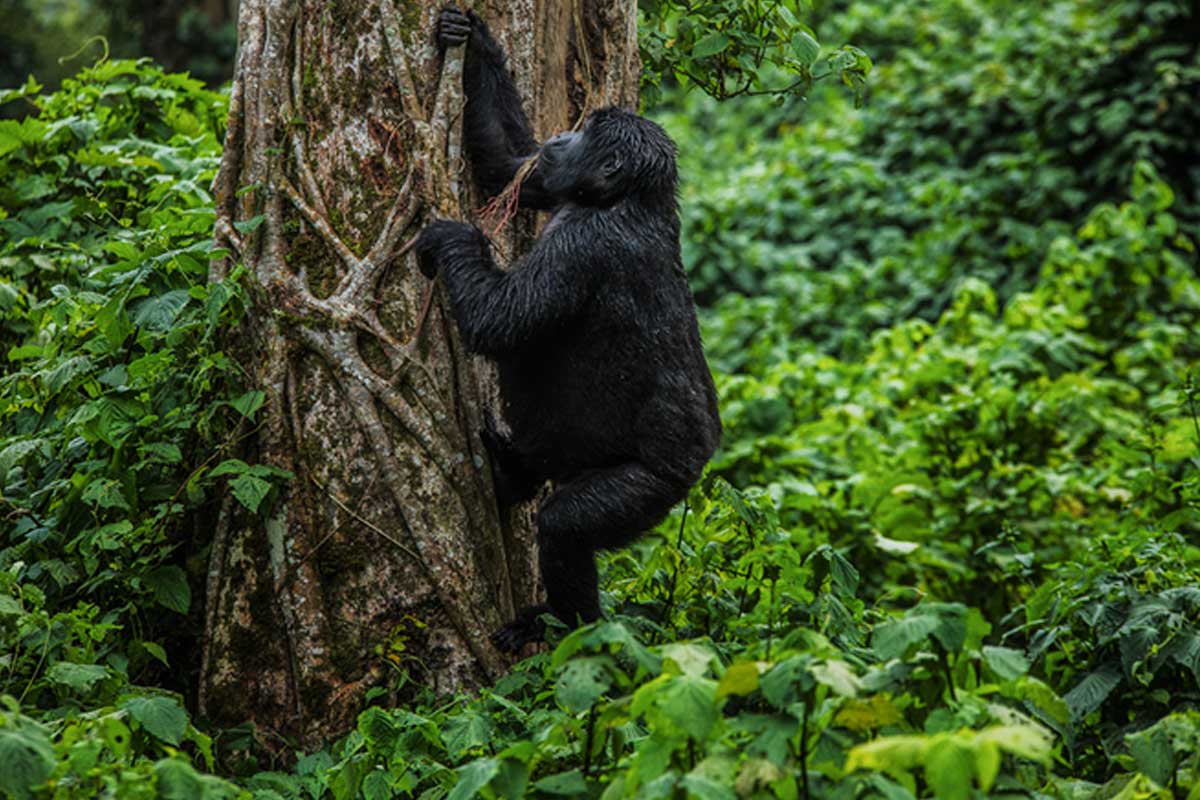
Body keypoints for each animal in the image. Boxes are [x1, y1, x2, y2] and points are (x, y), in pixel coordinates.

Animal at [415, 6, 720, 652]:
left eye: (587, 134)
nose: (563, 136)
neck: (622, 199)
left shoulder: (580, 248)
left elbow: (502, 320)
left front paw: (452, 237)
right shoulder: (547, 182)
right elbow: (510, 163)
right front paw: (471, 39)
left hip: (647, 489)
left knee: (568, 527)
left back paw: (563, 626)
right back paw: (514, 475)